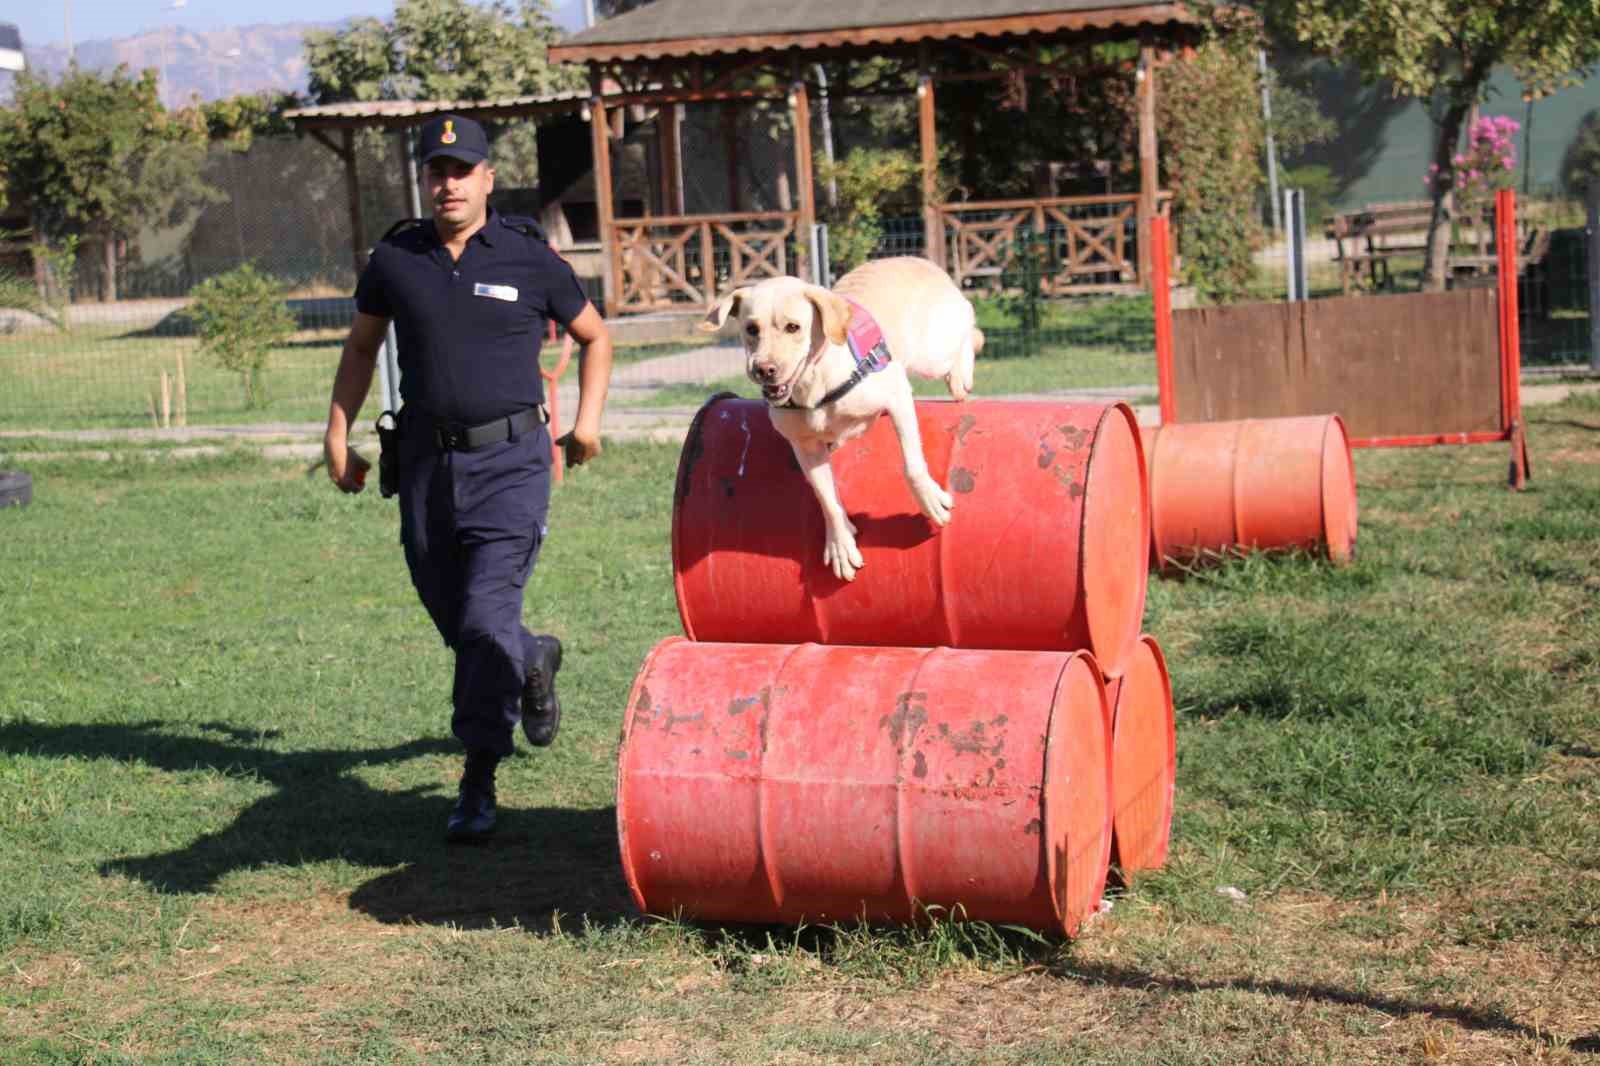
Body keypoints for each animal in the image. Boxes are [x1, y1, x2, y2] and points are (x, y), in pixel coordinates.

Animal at [704, 254, 979, 576]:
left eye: (793, 327)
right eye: (751, 329)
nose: (763, 370)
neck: (813, 385)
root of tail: (915, 259)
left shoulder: (897, 393)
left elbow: (912, 466)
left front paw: (930, 501)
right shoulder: (806, 448)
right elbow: (827, 499)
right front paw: (840, 544)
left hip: (932, 354)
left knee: (968, 323)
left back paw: (960, 375)